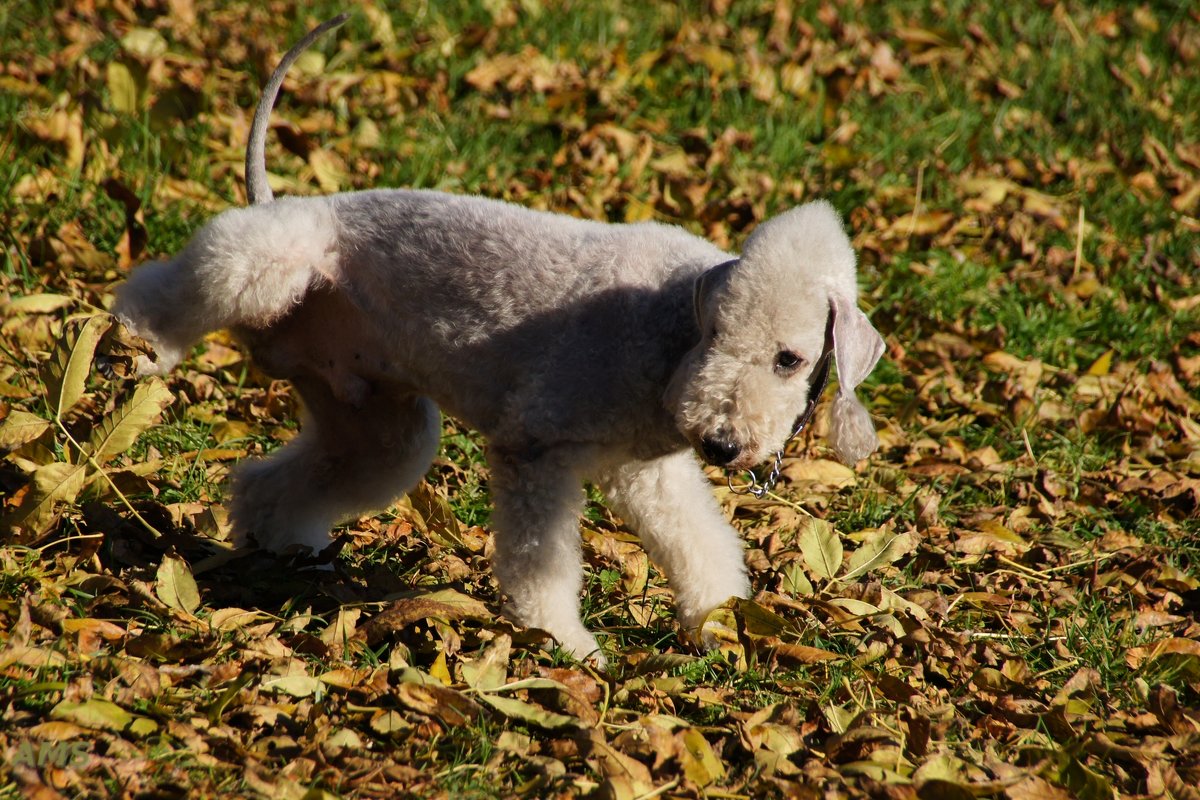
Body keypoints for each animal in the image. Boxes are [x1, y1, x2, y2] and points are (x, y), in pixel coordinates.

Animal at [114, 15, 883, 666]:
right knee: (168, 288)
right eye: (716, 331)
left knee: (273, 481)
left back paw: (285, 545)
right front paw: (564, 644)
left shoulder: (648, 472)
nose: (723, 444)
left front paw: (718, 621)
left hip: (376, 424)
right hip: (267, 261)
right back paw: (132, 347)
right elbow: (542, 564)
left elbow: (699, 541)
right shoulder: (534, 448)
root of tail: (280, 200)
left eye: (789, 360)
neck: (666, 332)